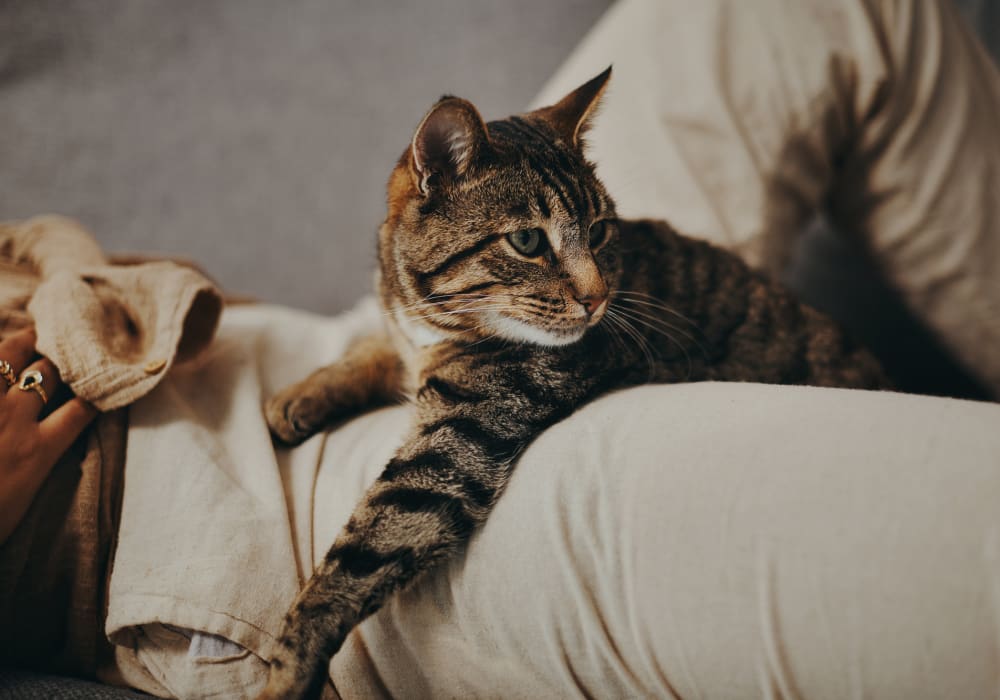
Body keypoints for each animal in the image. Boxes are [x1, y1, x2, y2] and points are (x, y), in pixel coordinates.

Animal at [260, 67, 892, 700]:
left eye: (599, 230)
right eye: (528, 242)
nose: (598, 298)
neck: (435, 319)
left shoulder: (459, 441)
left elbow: (360, 553)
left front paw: (288, 668)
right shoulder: (406, 340)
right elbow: (371, 347)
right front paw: (297, 397)